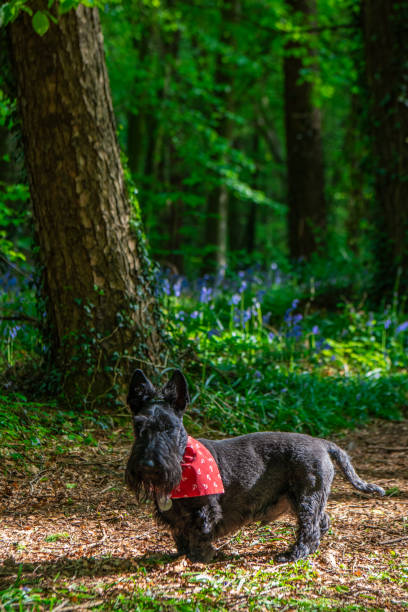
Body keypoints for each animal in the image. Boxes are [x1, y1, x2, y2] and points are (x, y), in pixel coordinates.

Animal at [125, 368, 386, 564]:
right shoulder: (175, 518)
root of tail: (322, 443)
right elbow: (181, 536)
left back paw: (293, 554)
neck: (183, 461)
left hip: (307, 497)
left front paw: (199, 558)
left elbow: (199, 536)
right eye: (138, 426)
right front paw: (181, 555)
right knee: (322, 521)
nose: (148, 464)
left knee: (310, 528)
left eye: (168, 427)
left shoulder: (206, 511)